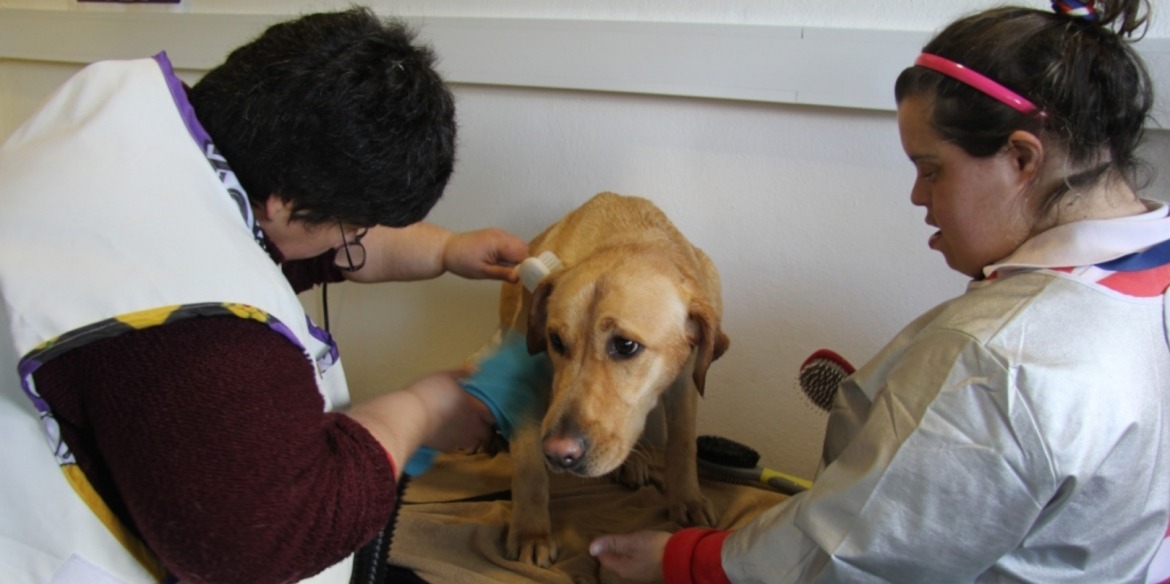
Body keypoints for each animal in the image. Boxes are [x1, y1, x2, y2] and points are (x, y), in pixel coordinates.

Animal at [496, 191, 730, 566]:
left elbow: (683, 442)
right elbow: (529, 464)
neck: (630, 237)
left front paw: (688, 499)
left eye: (626, 345)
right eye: (555, 341)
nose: (559, 454)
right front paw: (532, 532)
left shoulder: (686, 379)